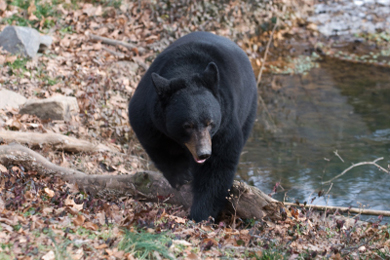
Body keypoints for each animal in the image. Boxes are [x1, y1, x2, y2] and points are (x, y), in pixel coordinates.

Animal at [128, 31, 258, 221]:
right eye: (187, 125)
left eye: (210, 123)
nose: (204, 153)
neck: (187, 71)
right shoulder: (150, 113)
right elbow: (155, 142)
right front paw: (181, 176)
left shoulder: (225, 121)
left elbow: (218, 164)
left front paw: (200, 213)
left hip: (248, 109)